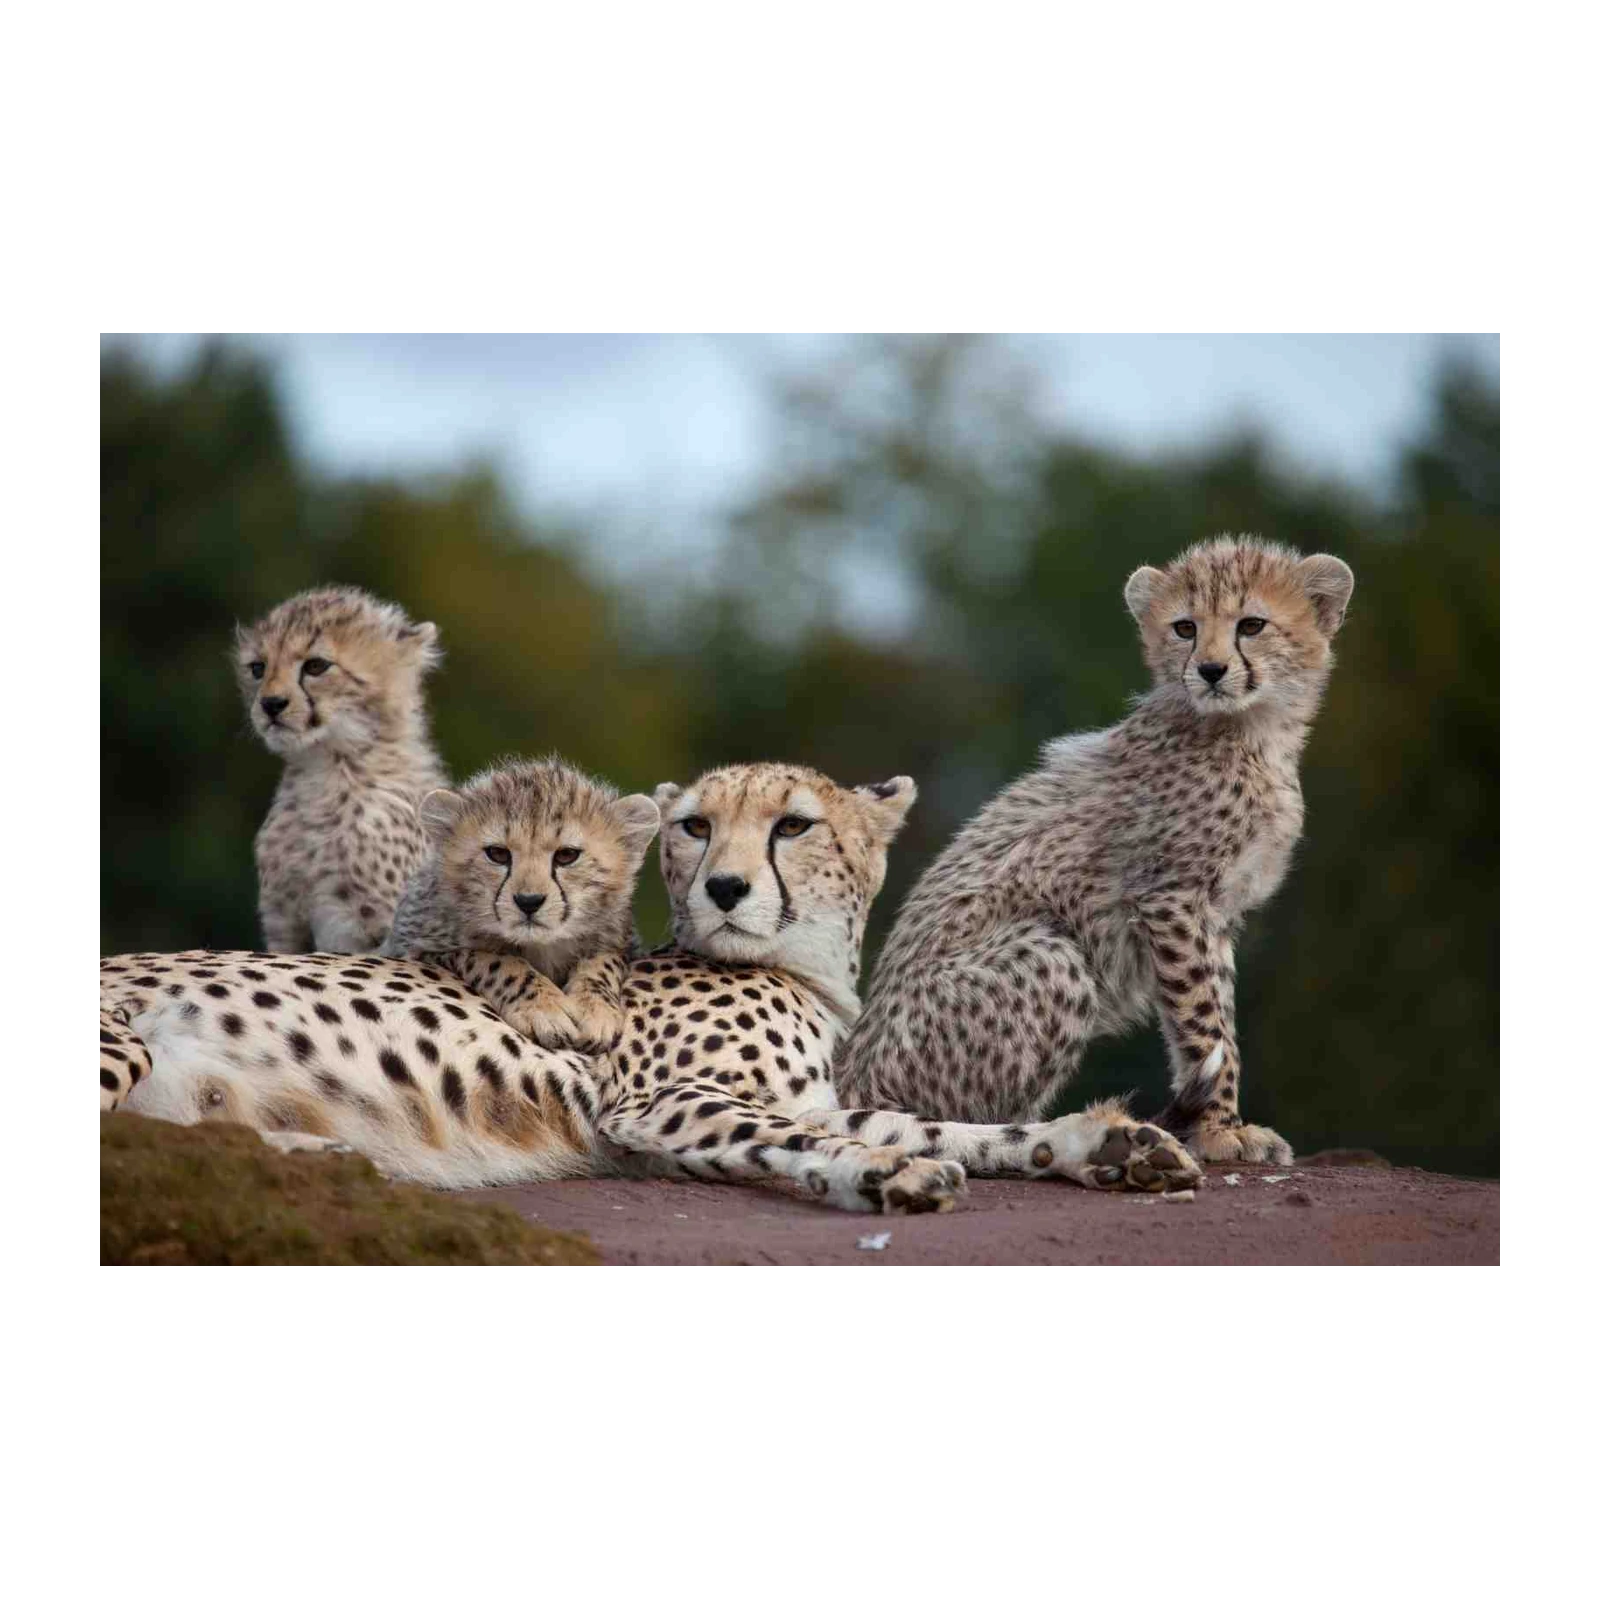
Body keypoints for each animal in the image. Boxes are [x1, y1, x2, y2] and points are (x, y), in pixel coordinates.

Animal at [379, 757, 659, 1057]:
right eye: (497, 854)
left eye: (567, 855)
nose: (529, 901)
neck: (541, 947)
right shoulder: (416, 948)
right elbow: (495, 960)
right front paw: (543, 1007)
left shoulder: (619, 941)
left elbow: (604, 961)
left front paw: (594, 1007)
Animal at [837, 534, 1356, 1166]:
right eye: (1185, 627)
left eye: (1251, 625)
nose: (1210, 670)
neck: (1248, 730)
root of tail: (849, 1070)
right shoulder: (1170, 897)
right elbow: (1205, 1021)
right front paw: (1220, 1130)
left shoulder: (1215, 912)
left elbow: (1213, 1017)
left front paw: (1216, 1123)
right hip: (1049, 955)